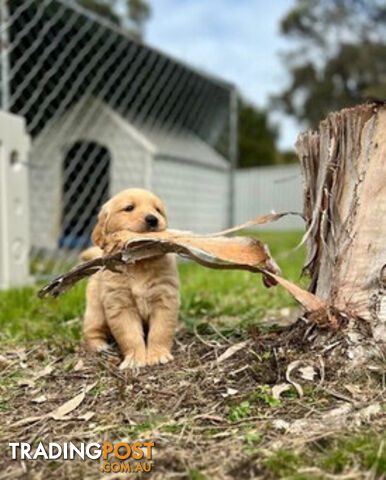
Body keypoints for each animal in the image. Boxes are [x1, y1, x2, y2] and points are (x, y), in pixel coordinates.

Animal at [83, 189, 179, 370]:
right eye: (129, 208)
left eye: (157, 210)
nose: (153, 219)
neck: (139, 261)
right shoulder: (120, 305)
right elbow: (130, 335)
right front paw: (134, 359)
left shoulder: (165, 298)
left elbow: (160, 331)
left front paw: (158, 354)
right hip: (95, 311)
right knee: (91, 331)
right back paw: (101, 347)